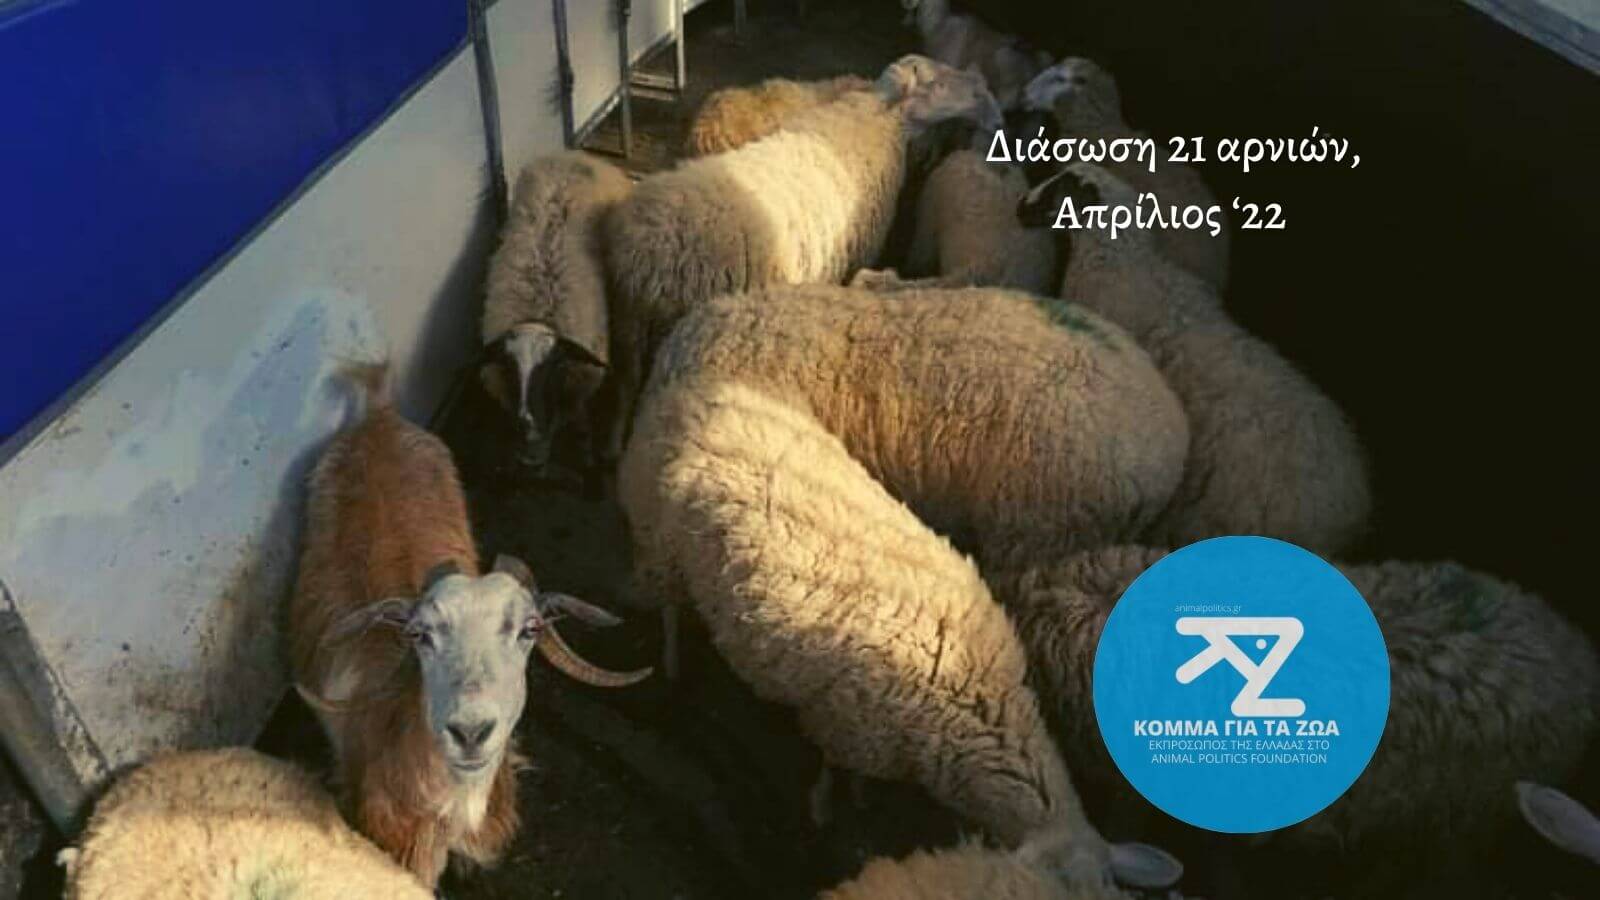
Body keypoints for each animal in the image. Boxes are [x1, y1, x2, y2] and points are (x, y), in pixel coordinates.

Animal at [479, 151, 634, 473]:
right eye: (509, 368)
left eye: (553, 370)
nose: (528, 428)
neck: (539, 311)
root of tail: (574, 154)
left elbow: (581, 429)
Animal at [617, 373, 1181, 890]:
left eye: (1106, 886)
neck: (978, 697)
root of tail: (684, 395)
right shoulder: (844, 725)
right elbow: (832, 771)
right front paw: (828, 807)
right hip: (661, 544)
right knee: (668, 610)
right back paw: (672, 664)